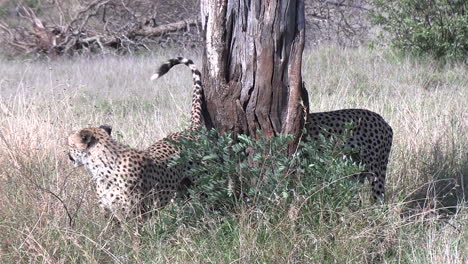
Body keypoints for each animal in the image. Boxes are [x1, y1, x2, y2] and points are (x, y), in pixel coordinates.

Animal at [66, 57, 202, 221]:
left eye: (69, 143)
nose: (67, 155)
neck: (101, 167)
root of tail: (190, 130)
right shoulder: (109, 216)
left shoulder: (134, 218)